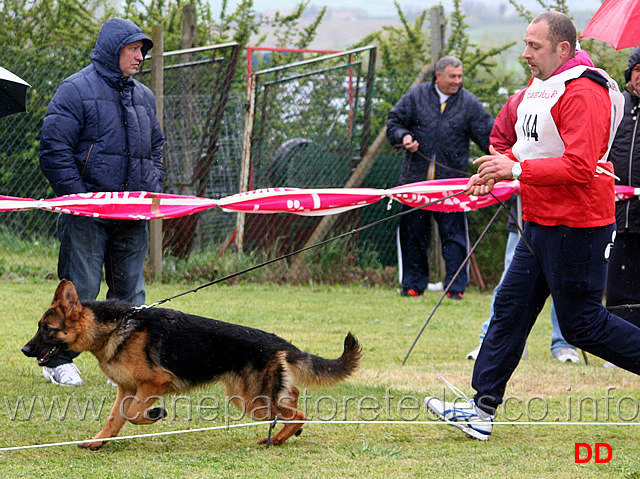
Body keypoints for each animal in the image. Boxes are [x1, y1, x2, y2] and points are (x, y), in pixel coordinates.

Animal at [22, 282, 360, 450]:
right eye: (39, 327)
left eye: (47, 329)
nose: (25, 349)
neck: (115, 327)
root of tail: (279, 343)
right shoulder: (126, 389)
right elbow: (114, 418)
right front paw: (98, 442)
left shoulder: (153, 383)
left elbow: (132, 414)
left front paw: (155, 414)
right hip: (249, 397)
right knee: (294, 398)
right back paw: (281, 435)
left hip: (254, 402)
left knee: (299, 413)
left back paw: (277, 439)